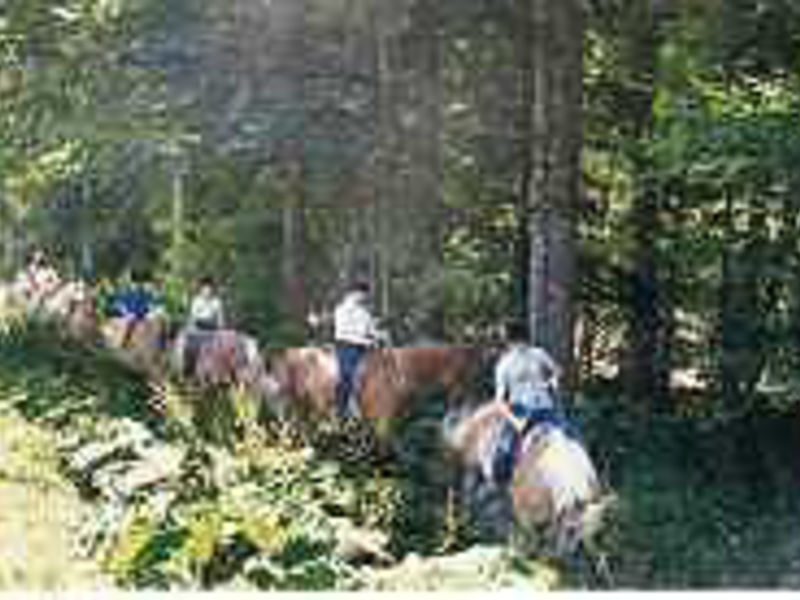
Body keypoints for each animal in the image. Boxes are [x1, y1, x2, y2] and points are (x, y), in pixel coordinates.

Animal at [444, 398, 612, 564]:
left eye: (589, 532)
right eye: (571, 530)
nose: (565, 556)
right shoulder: (524, 506)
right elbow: (530, 533)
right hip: (473, 469)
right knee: (469, 495)